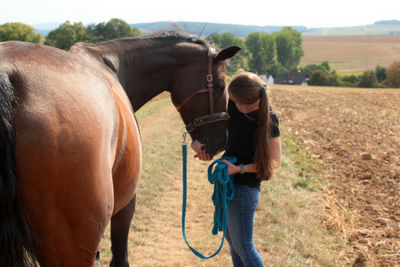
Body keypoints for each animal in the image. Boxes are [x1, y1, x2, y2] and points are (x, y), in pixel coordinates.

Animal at [0, 32, 239, 266]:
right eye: (220, 85)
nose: (221, 141)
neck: (112, 66)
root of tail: (10, 74)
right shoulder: (126, 205)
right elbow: (120, 258)